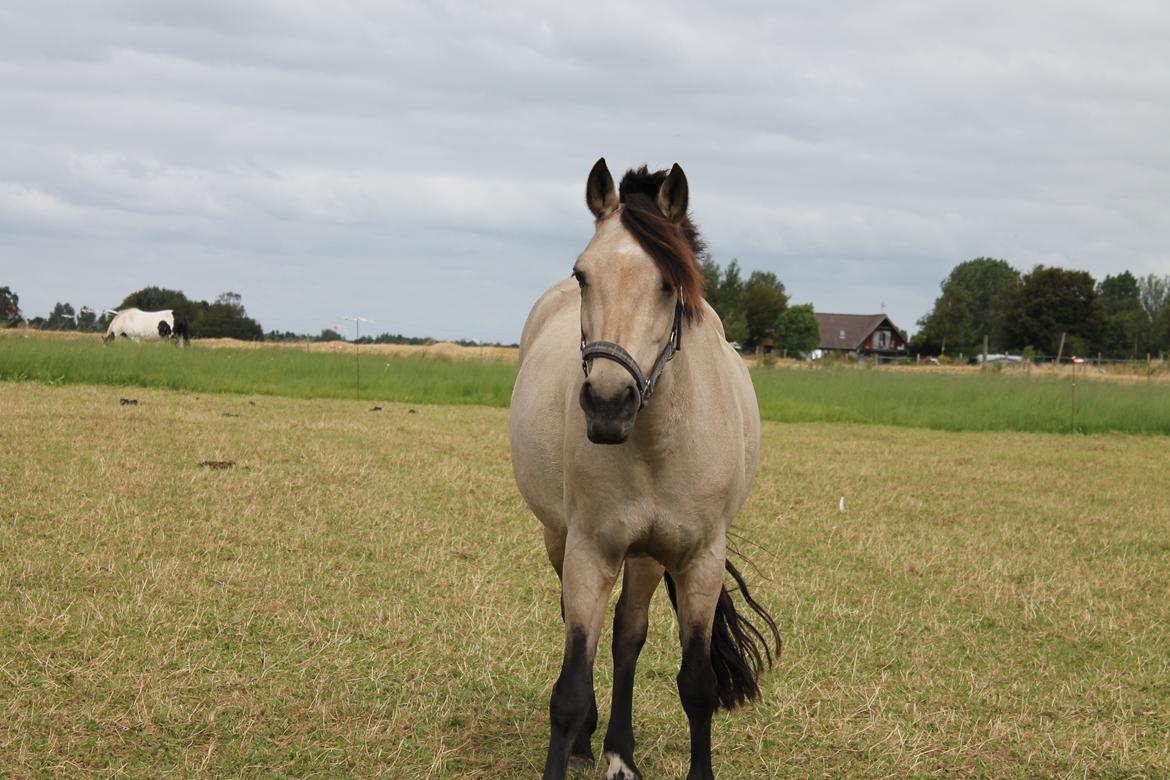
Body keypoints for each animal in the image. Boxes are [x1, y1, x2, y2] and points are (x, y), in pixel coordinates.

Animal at [510, 160, 776, 780]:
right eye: (583, 275)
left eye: (668, 284)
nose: (609, 404)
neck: (656, 445)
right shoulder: (590, 551)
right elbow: (569, 690)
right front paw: (575, 736)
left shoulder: (699, 558)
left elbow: (697, 684)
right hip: (561, 538)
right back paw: (594, 742)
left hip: (650, 555)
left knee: (628, 636)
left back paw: (620, 753)